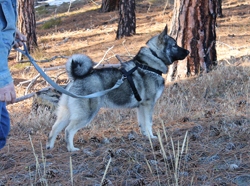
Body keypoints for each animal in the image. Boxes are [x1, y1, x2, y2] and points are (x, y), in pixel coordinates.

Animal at [47, 24, 188, 151]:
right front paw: (152, 137)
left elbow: (142, 123)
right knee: (68, 130)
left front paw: (145, 135)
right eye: (174, 45)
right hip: (86, 113)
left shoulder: (141, 106)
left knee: (54, 129)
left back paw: (50, 147)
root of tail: (75, 79)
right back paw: (71, 149)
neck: (149, 64)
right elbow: (149, 122)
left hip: (66, 113)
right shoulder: (148, 104)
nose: (188, 51)